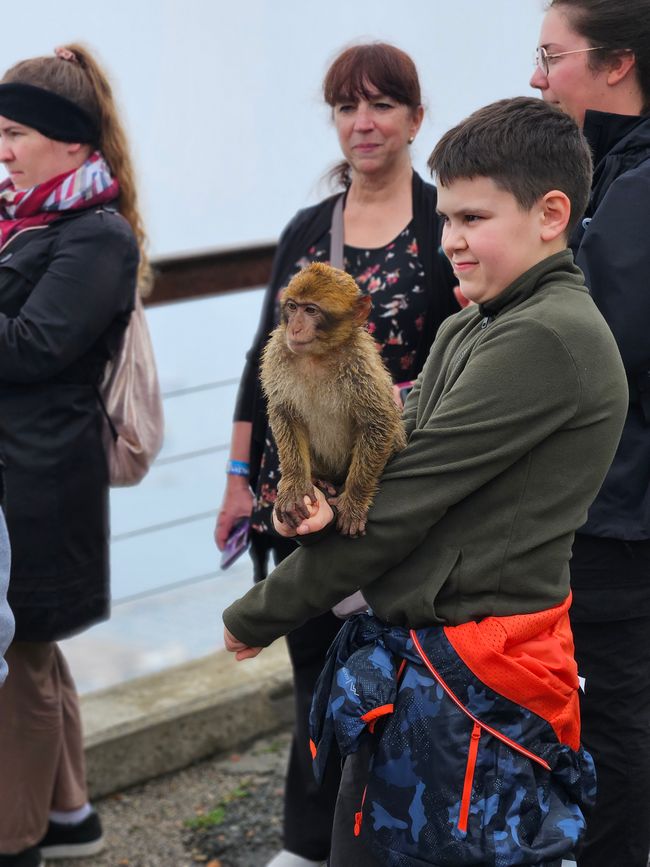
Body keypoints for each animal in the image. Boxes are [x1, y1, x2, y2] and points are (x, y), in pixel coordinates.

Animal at [260, 262, 407, 538]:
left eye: (311, 310)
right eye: (293, 307)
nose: (295, 328)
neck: (317, 356)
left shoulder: (360, 362)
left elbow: (378, 422)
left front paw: (354, 501)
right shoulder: (277, 352)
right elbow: (284, 412)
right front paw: (294, 485)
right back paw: (320, 481)